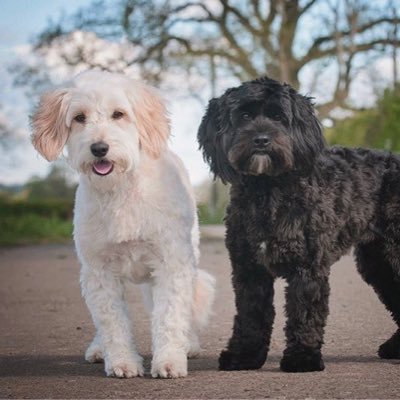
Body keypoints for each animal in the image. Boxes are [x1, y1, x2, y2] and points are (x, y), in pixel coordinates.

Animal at [31, 70, 216, 380]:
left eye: (119, 114)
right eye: (79, 117)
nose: (99, 148)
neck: (121, 190)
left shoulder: (171, 264)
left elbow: (169, 316)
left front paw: (169, 360)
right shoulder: (99, 271)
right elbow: (112, 322)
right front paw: (122, 362)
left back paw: (188, 343)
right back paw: (98, 348)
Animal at [198, 77, 400, 372]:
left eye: (279, 117)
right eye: (245, 116)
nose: (261, 139)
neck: (268, 190)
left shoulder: (308, 266)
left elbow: (304, 311)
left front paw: (302, 357)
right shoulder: (249, 268)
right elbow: (250, 315)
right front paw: (244, 356)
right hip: (379, 262)